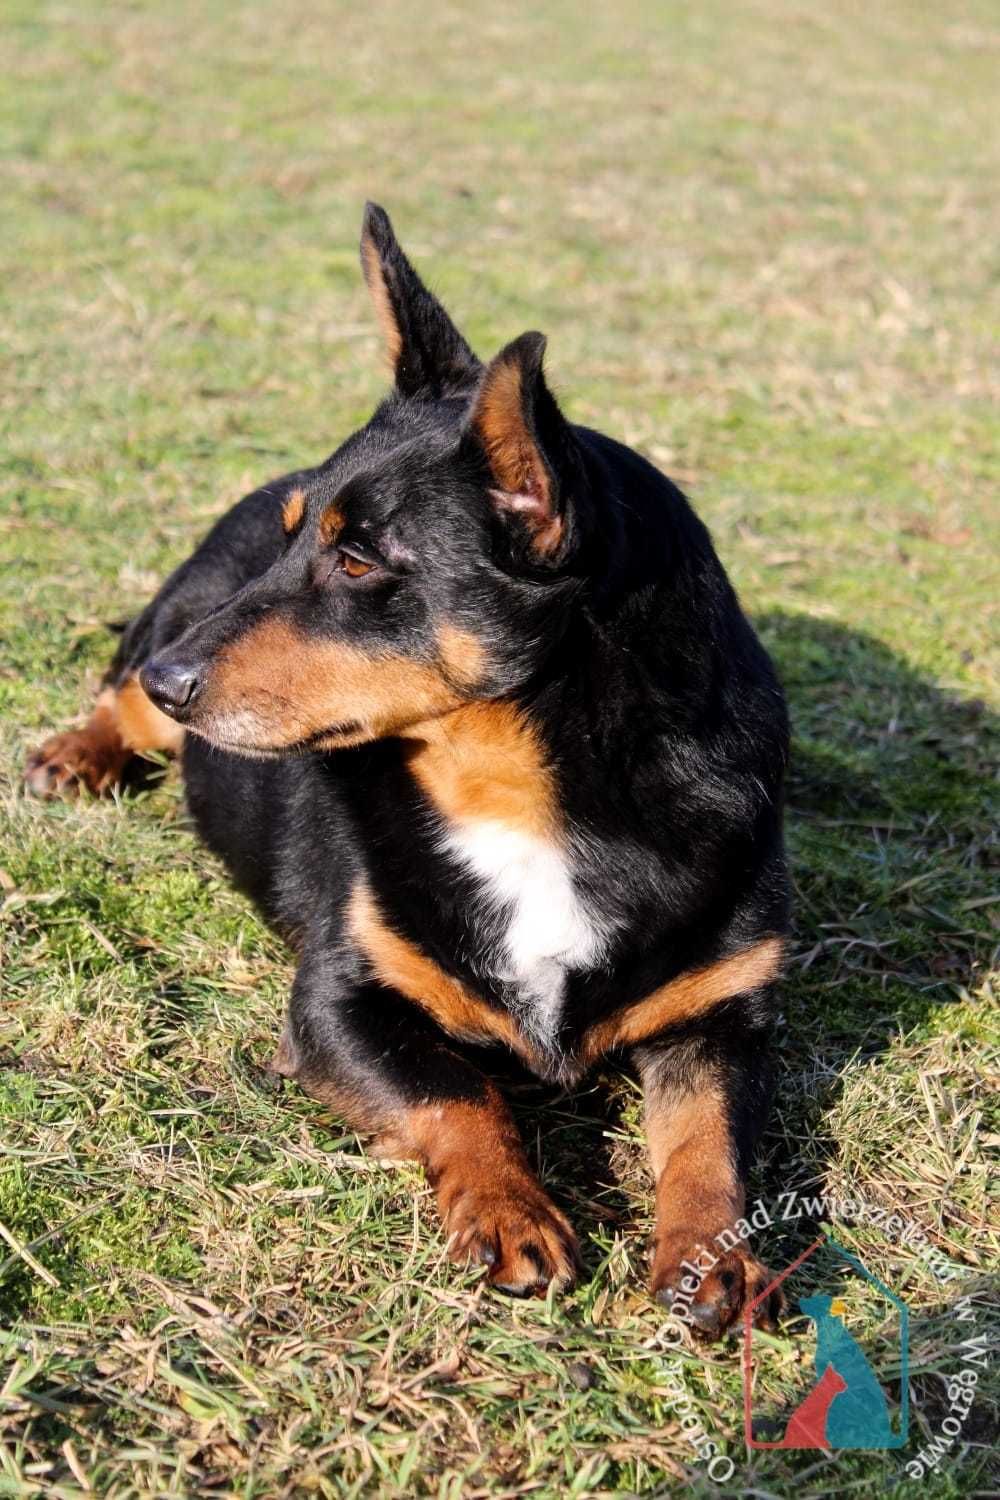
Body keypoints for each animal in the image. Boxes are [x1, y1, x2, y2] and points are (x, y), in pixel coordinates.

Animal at [25, 202, 791, 1338]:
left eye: (357, 561)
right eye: (298, 541)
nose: (176, 682)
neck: (514, 791)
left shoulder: (722, 1016)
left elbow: (711, 1143)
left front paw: (716, 1258)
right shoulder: (338, 1005)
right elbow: (458, 1092)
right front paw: (510, 1212)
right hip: (168, 617)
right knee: (112, 694)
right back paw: (77, 752)